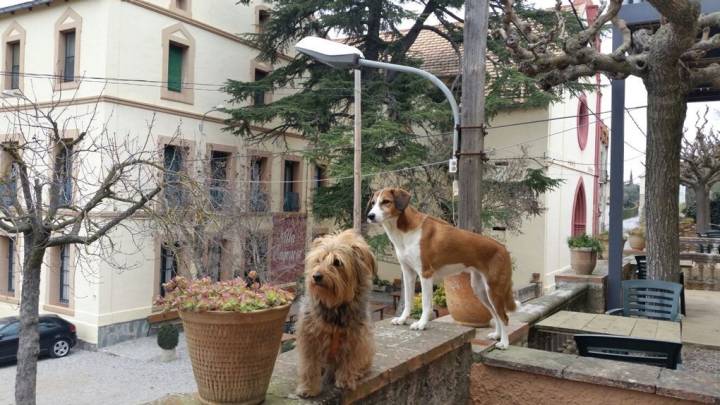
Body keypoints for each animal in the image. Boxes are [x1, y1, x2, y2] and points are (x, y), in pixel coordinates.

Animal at [366, 186, 516, 348]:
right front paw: (402, 319)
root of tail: (503, 249)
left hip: (495, 290)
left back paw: (504, 343)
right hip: (481, 290)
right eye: (373, 202)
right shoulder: (408, 273)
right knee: (495, 314)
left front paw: (421, 324)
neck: (406, 230)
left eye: (386, 201)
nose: (370, 216)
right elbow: (407, 300)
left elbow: (426, 304)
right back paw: (497, 335)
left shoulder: (425, 274)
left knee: (504, 317)